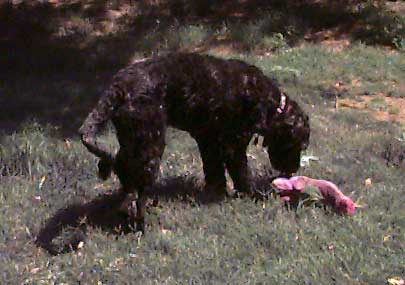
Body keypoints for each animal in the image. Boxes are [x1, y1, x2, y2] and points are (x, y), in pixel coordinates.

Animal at [79, 52, 310, 232]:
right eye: (297, 145)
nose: (292, 171)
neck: (268, 103)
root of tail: (117, 87)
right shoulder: (233, 146)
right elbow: (241, 174)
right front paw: (253, 196)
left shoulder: (209, 142)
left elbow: (215, 172)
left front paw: (217, 193)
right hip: (151, 147)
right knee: (135, 195)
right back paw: (142, 225)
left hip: (132, 145)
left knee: (127, 182)